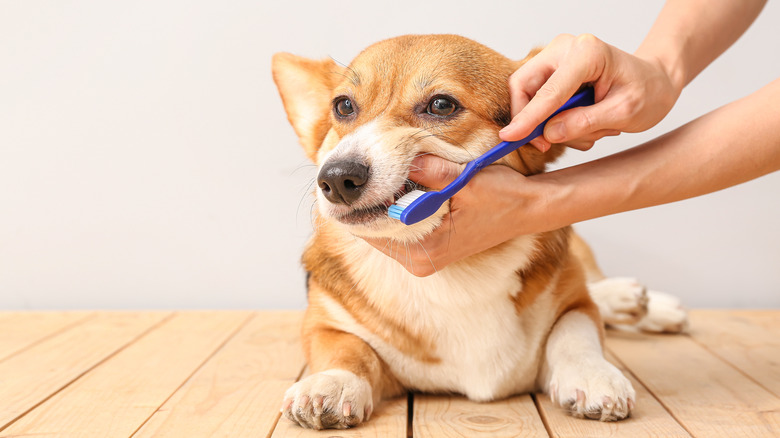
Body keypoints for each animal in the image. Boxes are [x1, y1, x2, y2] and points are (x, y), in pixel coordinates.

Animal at [272, 35, 684, 432]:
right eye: (343, 106)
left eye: (441, 105)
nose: (336, 178)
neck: (454, 273)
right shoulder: (323, 322)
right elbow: (347, 350)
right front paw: (332, 383)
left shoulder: (573, 304)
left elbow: (575, 332)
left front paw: (592, 375)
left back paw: (644, 303)